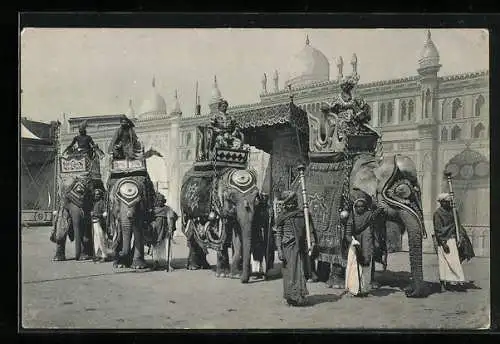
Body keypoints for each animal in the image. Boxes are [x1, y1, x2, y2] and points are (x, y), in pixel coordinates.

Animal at [350, 153, 428, 298]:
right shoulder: (355, 193)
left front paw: (373, 285)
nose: (408, 291)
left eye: (417, 191)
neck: (377, 164)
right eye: (398, 191)